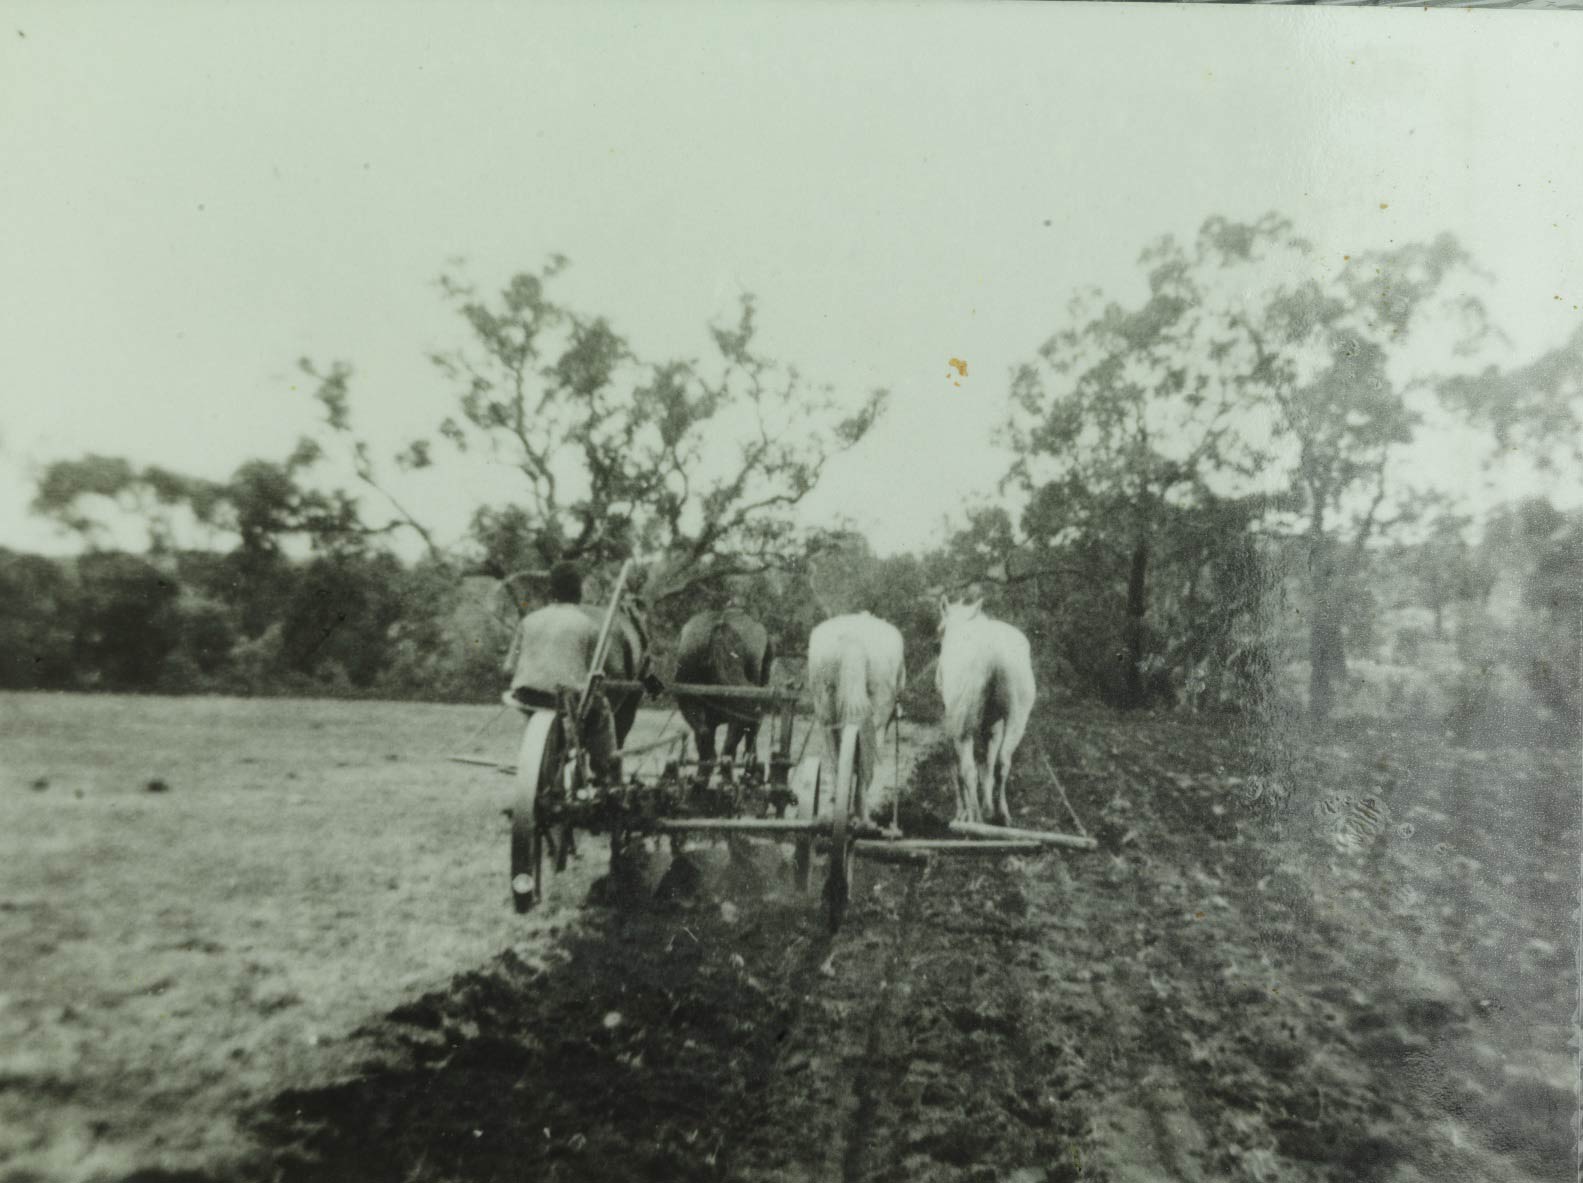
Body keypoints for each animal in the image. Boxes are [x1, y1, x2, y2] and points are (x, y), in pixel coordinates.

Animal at [810, 614, 911, 829]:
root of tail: (853, 638)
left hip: (826, 719)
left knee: (836, 763)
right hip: (877, 722)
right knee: (866, 766)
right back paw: (864, 820)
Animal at [930, 601, 1032, 823]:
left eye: (940, 629)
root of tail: (993, 655)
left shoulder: (951, 722)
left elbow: (958, 767)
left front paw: (962, 812)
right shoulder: (993, 725)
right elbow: (989, 762)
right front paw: (988, 807)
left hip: (962, 725)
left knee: (968, 769)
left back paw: (974, 817)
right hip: (1017, 718)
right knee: (1003, 761)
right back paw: (1001, 815)